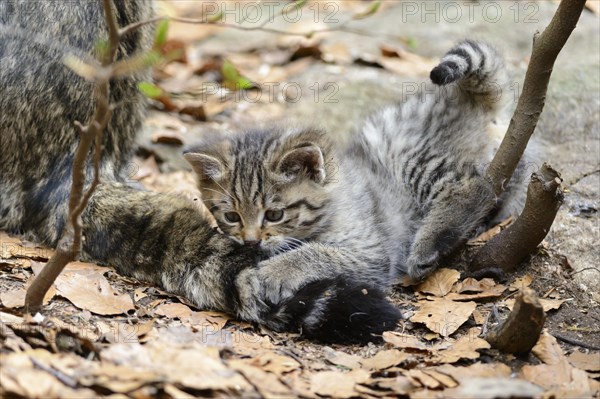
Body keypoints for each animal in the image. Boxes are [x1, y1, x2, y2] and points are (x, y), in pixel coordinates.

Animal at [185, 40, 528, 340]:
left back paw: (427, 246)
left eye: (274, 214)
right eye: (231, 217)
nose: (251, 241)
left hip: (406, 155)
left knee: (477, 185)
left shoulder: (372, 252)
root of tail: (459, 97)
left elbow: (318, 253)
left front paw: (274, 271)